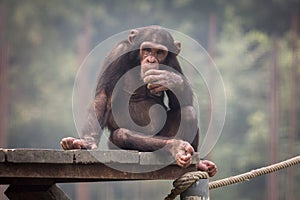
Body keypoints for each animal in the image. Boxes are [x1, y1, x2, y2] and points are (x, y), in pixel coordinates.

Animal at [60, 25, 216, 177]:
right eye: (147, 49)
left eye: (160, 52)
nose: (151, 60)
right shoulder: (118, 53)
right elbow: (103, 94)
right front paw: (86, 142)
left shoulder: (173, 61)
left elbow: (179, 103)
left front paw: (171, 80)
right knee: (122, 135)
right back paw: (176, 146)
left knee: (188, 113)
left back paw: (197, 162)